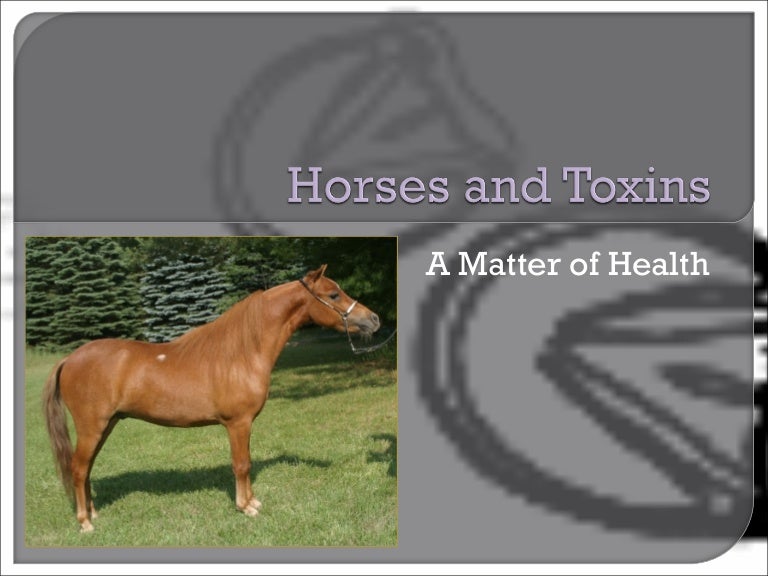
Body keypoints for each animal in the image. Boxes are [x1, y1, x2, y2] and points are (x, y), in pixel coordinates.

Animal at [42, 264, 381, 532]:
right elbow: (241, 464)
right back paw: (85, 522)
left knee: (86, 468)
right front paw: (247, 507)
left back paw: (93, 513)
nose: (374, 319)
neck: (242, 352)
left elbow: (246, 463)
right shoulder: (238, 423)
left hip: (107, 425)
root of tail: (70, 359)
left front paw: (252, 500)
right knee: (78, 468)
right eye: (334, 295)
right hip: (92, 426)